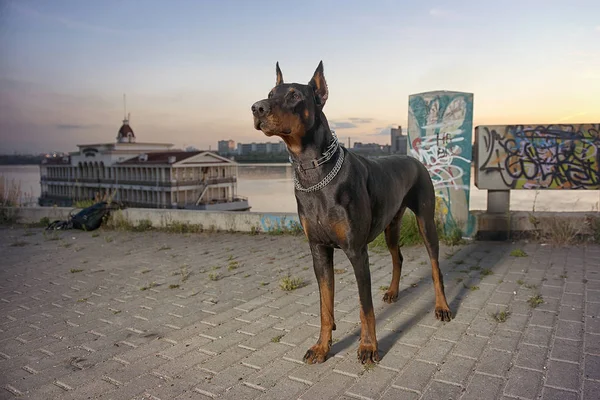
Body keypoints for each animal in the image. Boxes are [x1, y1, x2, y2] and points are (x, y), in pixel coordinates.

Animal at [251, 61, 452, 364]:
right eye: (270, 93)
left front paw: (368, 346)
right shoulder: (318, 249)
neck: (313, 171)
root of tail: (415, 160)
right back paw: (393, 292)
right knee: (398, 256)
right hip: (391, 224)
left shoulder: (357, 250)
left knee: (435, 267)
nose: (257, 108)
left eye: (295, 95)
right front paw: (322, 346)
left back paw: (442, 307)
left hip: (426, 221)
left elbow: (364, 305)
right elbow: (325, 305)